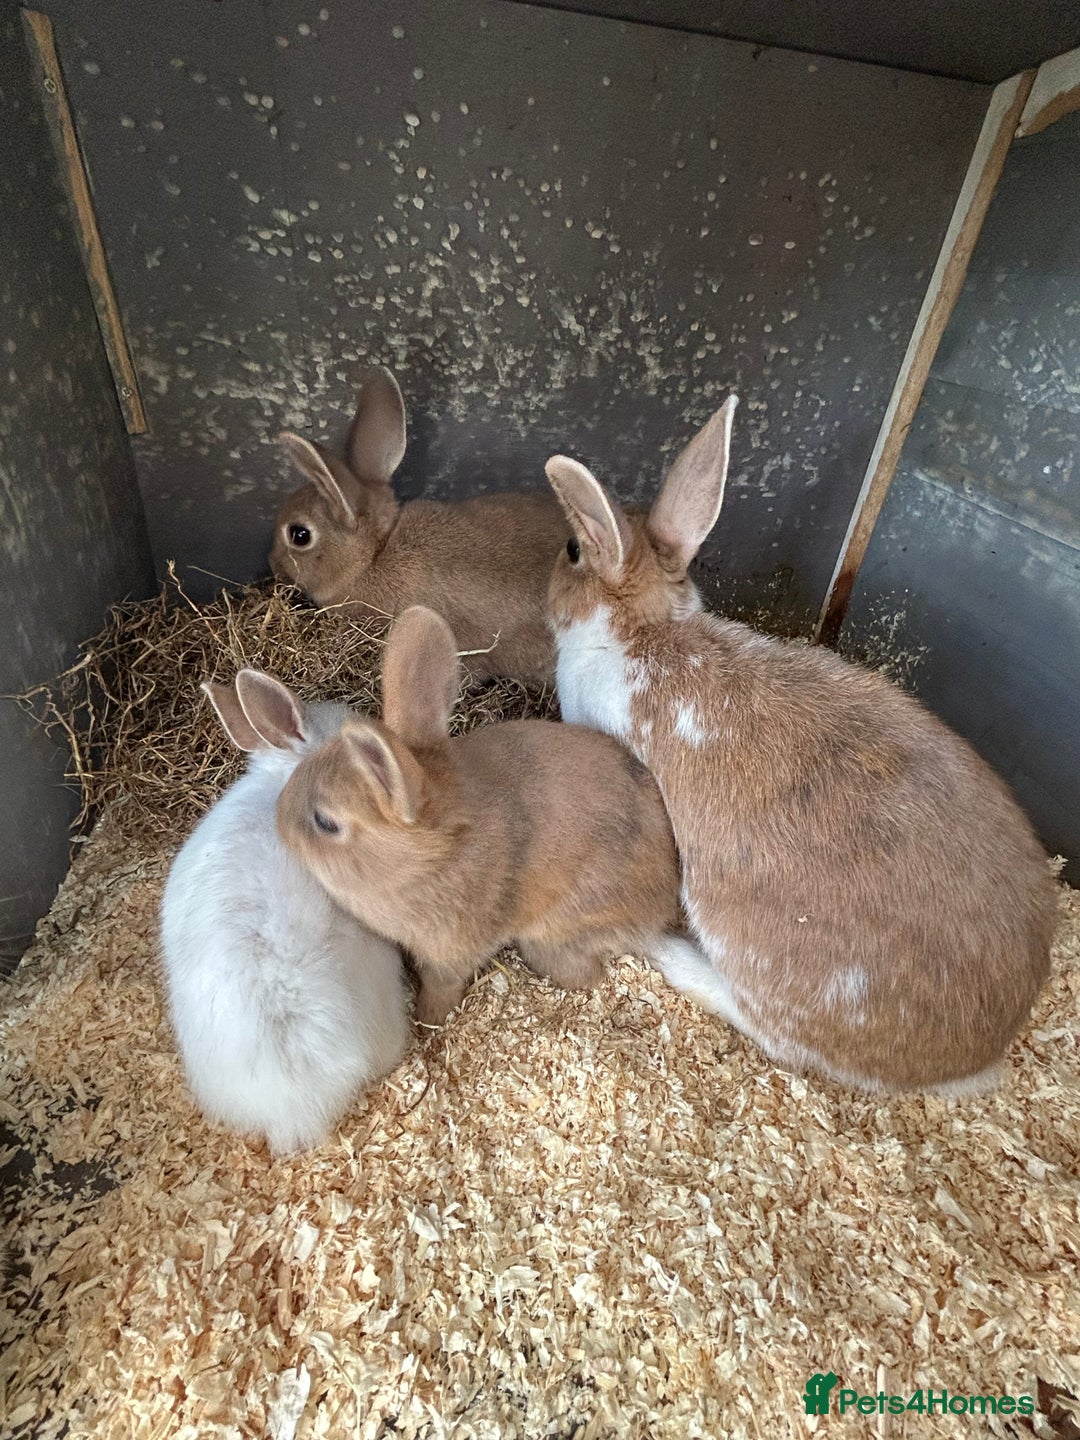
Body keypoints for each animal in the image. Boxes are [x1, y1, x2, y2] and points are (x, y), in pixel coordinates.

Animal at [276, 605, 685, 1027]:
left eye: (325, 822)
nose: (279, 817)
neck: (428, 861)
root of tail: (665, 901)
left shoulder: (450, 951)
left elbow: (442, 984)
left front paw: (429, 1019)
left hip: (555, 931)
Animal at [542, 396, 1056, 1095]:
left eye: (572, 550)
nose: (546, 592)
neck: (642, 632)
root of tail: (975, 1058)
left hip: (749, 942)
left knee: (770, 1030)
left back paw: (673, 956)